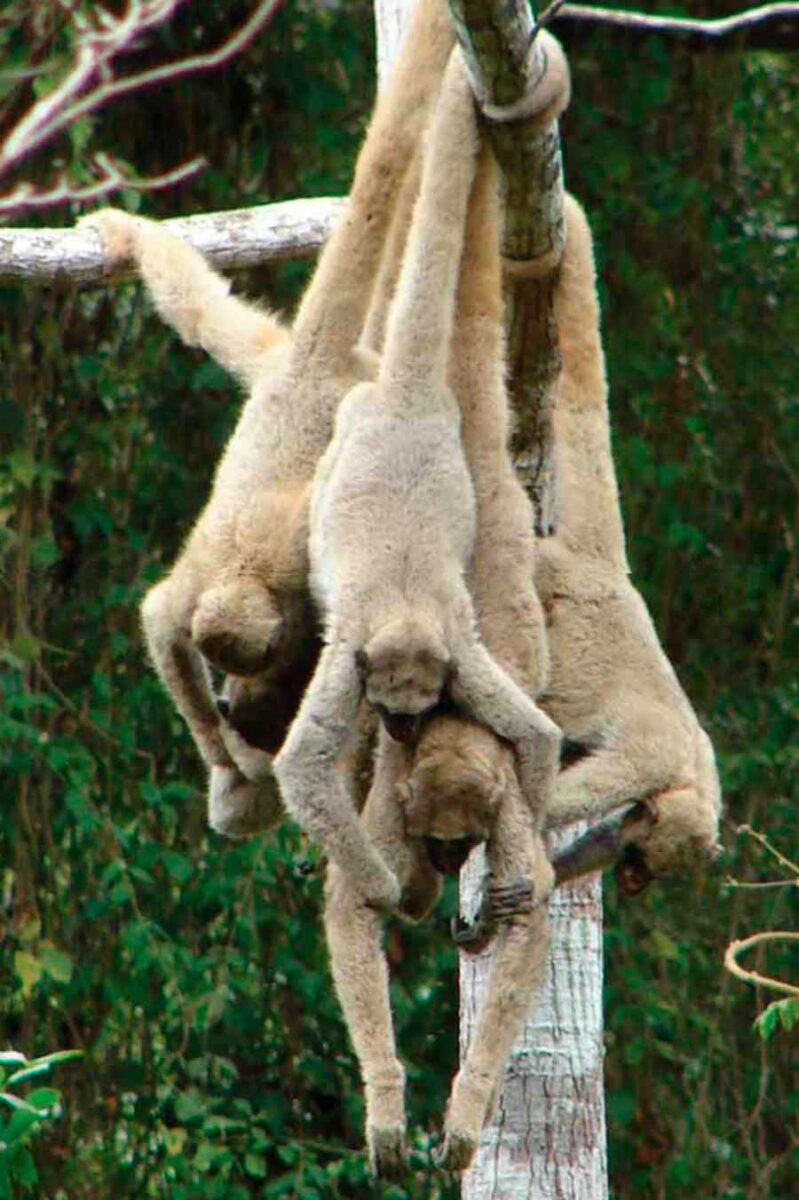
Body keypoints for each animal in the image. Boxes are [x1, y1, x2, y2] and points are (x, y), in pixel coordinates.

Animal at [81, 0, 458, 844]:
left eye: (241, 661)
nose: (229, 692)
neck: (247, 573)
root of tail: (311, 366)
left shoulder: (292, 577)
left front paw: (237, 748)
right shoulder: (208, 591)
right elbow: (162, 618)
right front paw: (223, 748)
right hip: (275, 359)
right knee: (201, 315)